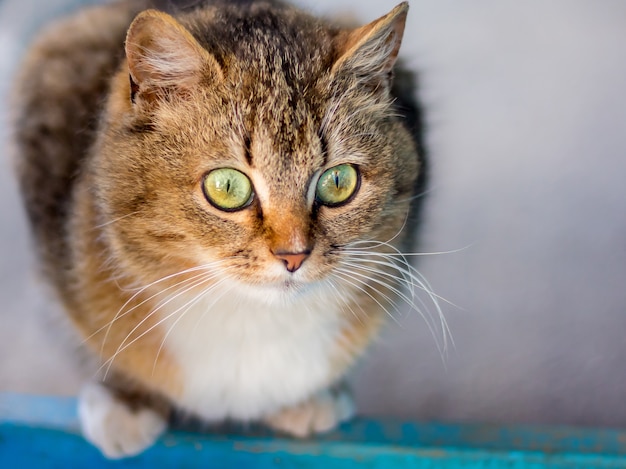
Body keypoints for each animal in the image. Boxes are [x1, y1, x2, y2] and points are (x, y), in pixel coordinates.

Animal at [12, 0, 428, 458]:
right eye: (226, 186)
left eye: (338, 182)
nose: (294, 255)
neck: (250, 319)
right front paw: (128, 400)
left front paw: (308, 399)